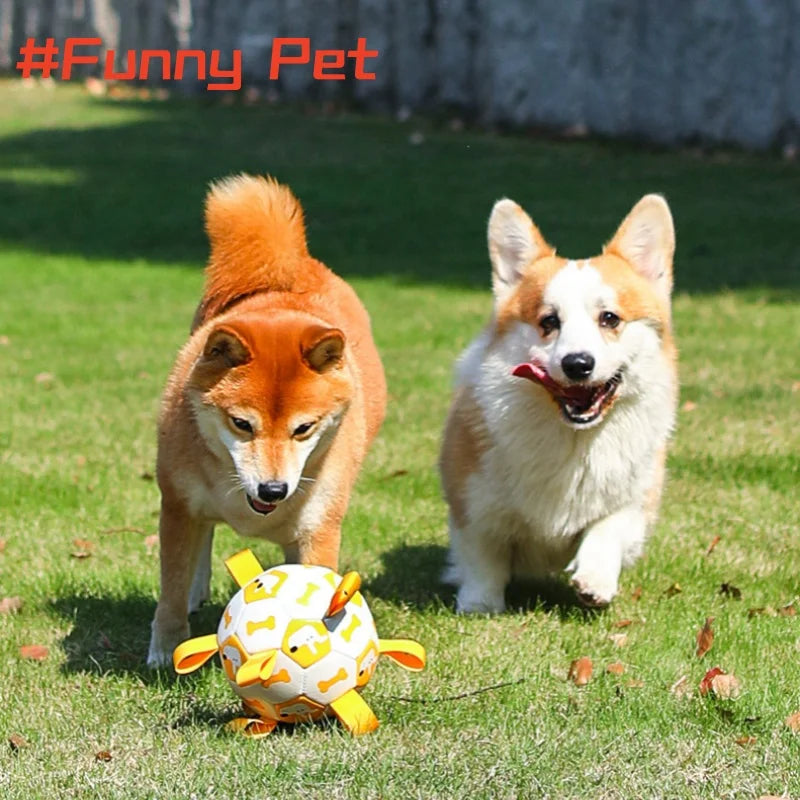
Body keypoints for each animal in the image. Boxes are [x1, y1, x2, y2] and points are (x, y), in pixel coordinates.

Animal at [151, 177, 390, 668]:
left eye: (304, 428)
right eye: (242, 424)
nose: (274, 490)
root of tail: (292, 268)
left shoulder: (319, 527)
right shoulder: (178, 505)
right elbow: (172, 586)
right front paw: (166, 649)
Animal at [440, 194, 680, 612]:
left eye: (610, 318)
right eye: (549, 322)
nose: (578, 364)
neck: (574, 438)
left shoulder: (636, 500)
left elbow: (608, 528)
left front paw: (595, 580)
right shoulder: (472, 501)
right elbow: (483, 554)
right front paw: (480, 604)